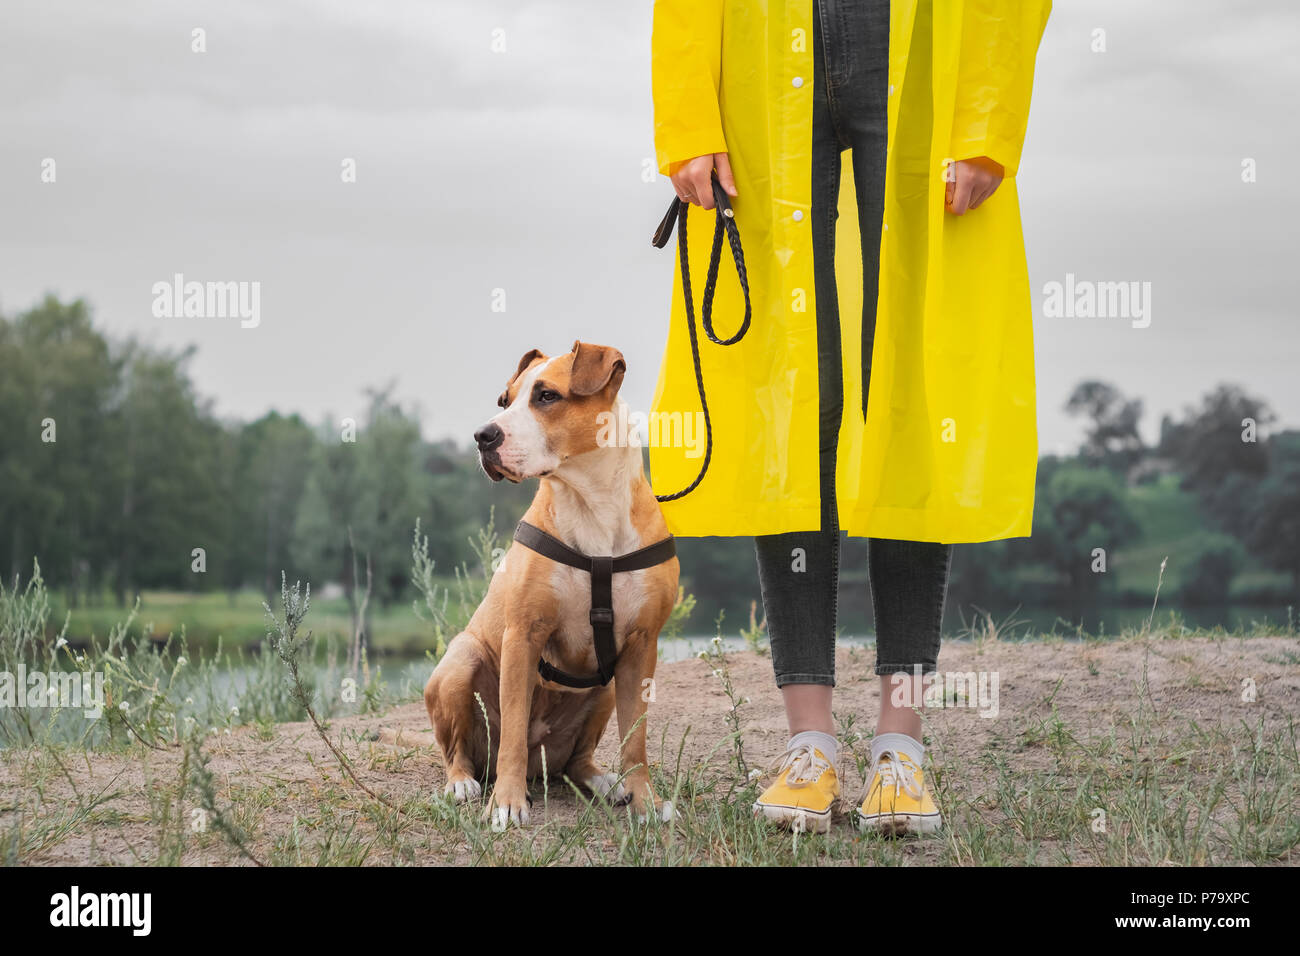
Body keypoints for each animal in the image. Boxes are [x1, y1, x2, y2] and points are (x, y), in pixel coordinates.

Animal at [423, 343, 681, 832]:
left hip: (603, 688)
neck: (592, 503)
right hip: (462, 660)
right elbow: (512, 733)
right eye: (505, 401)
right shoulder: (523, 635)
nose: (483, 435)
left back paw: (606, 783)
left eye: (546, 396)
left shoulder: (642, 646)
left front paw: (646, 800)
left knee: (576, 763)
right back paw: (463, 783)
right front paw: (505, 804)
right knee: (461, 750)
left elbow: (635, 740)